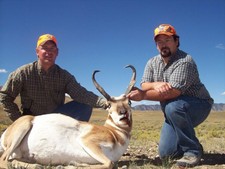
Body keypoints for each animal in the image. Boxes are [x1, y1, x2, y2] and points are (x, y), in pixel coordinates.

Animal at [0, 65, 135, 169]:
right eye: (109, 105)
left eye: (129, 102)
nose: (123, 113)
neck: (114, 133)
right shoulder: (87, 141)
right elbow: (109, 163)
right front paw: (72, 165)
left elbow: (110, 163)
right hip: (22, 128)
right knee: (3, 160)